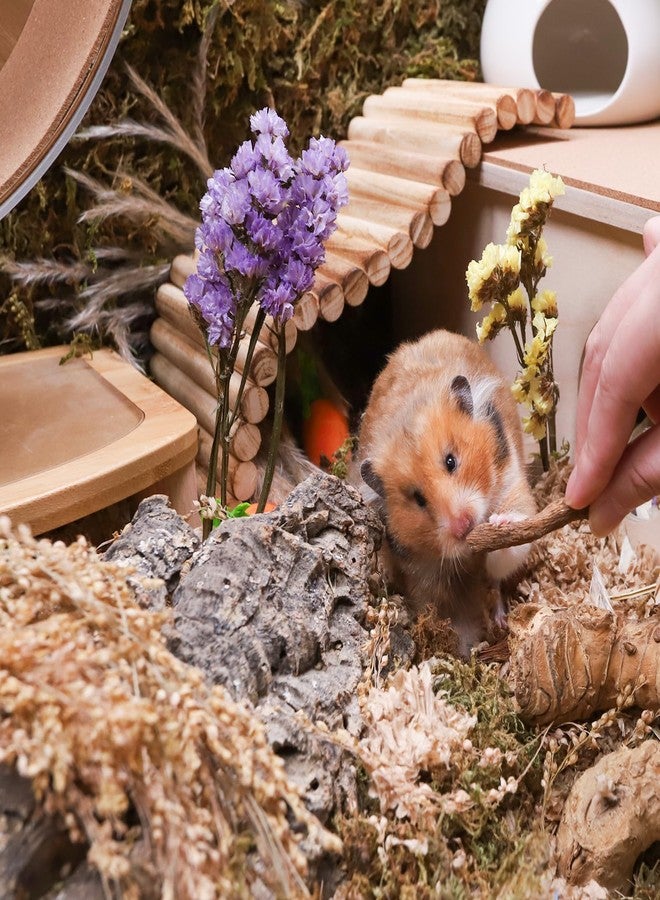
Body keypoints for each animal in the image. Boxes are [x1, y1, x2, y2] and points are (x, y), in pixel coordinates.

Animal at [354, 329, 536, 656]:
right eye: (418, 499)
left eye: (451, 461)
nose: (462, 526)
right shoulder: (423, 571)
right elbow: (446, 607)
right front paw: (459, 646)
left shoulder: (512, 484)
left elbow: (508, 551)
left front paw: (501, 523)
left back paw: (500, 617)